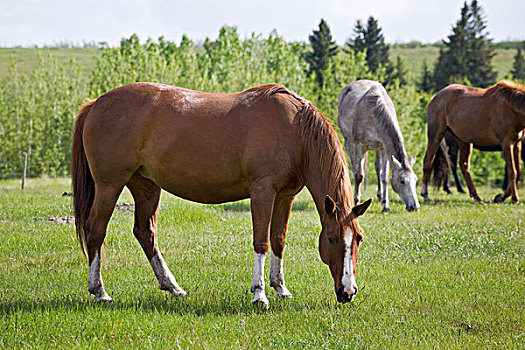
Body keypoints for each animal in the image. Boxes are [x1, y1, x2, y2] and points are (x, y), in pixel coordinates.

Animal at [71, 83, 370, 308]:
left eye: (358, 239)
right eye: (331, 239)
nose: (347, 292)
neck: (293, 129)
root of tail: (95, 104)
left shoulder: (286, 196)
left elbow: (278, 240)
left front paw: (280, 288)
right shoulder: (263, 192)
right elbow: (261, 242)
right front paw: (259, 294)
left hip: (146, 186)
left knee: (145, 232)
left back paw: (173, 287)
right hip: (110, 185)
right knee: (96, 230)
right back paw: (100, 291)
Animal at [338, 80, 420, 212]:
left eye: (415, 180)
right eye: (402, 181)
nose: (415, 207)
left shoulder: (384, 147)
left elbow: (384, 177)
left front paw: (385, 205)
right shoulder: (359, 146)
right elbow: (359, 175)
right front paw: (356, 202)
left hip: (376, 148)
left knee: (377, 167)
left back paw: (380, 196)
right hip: (349, 142)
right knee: (354, 167)